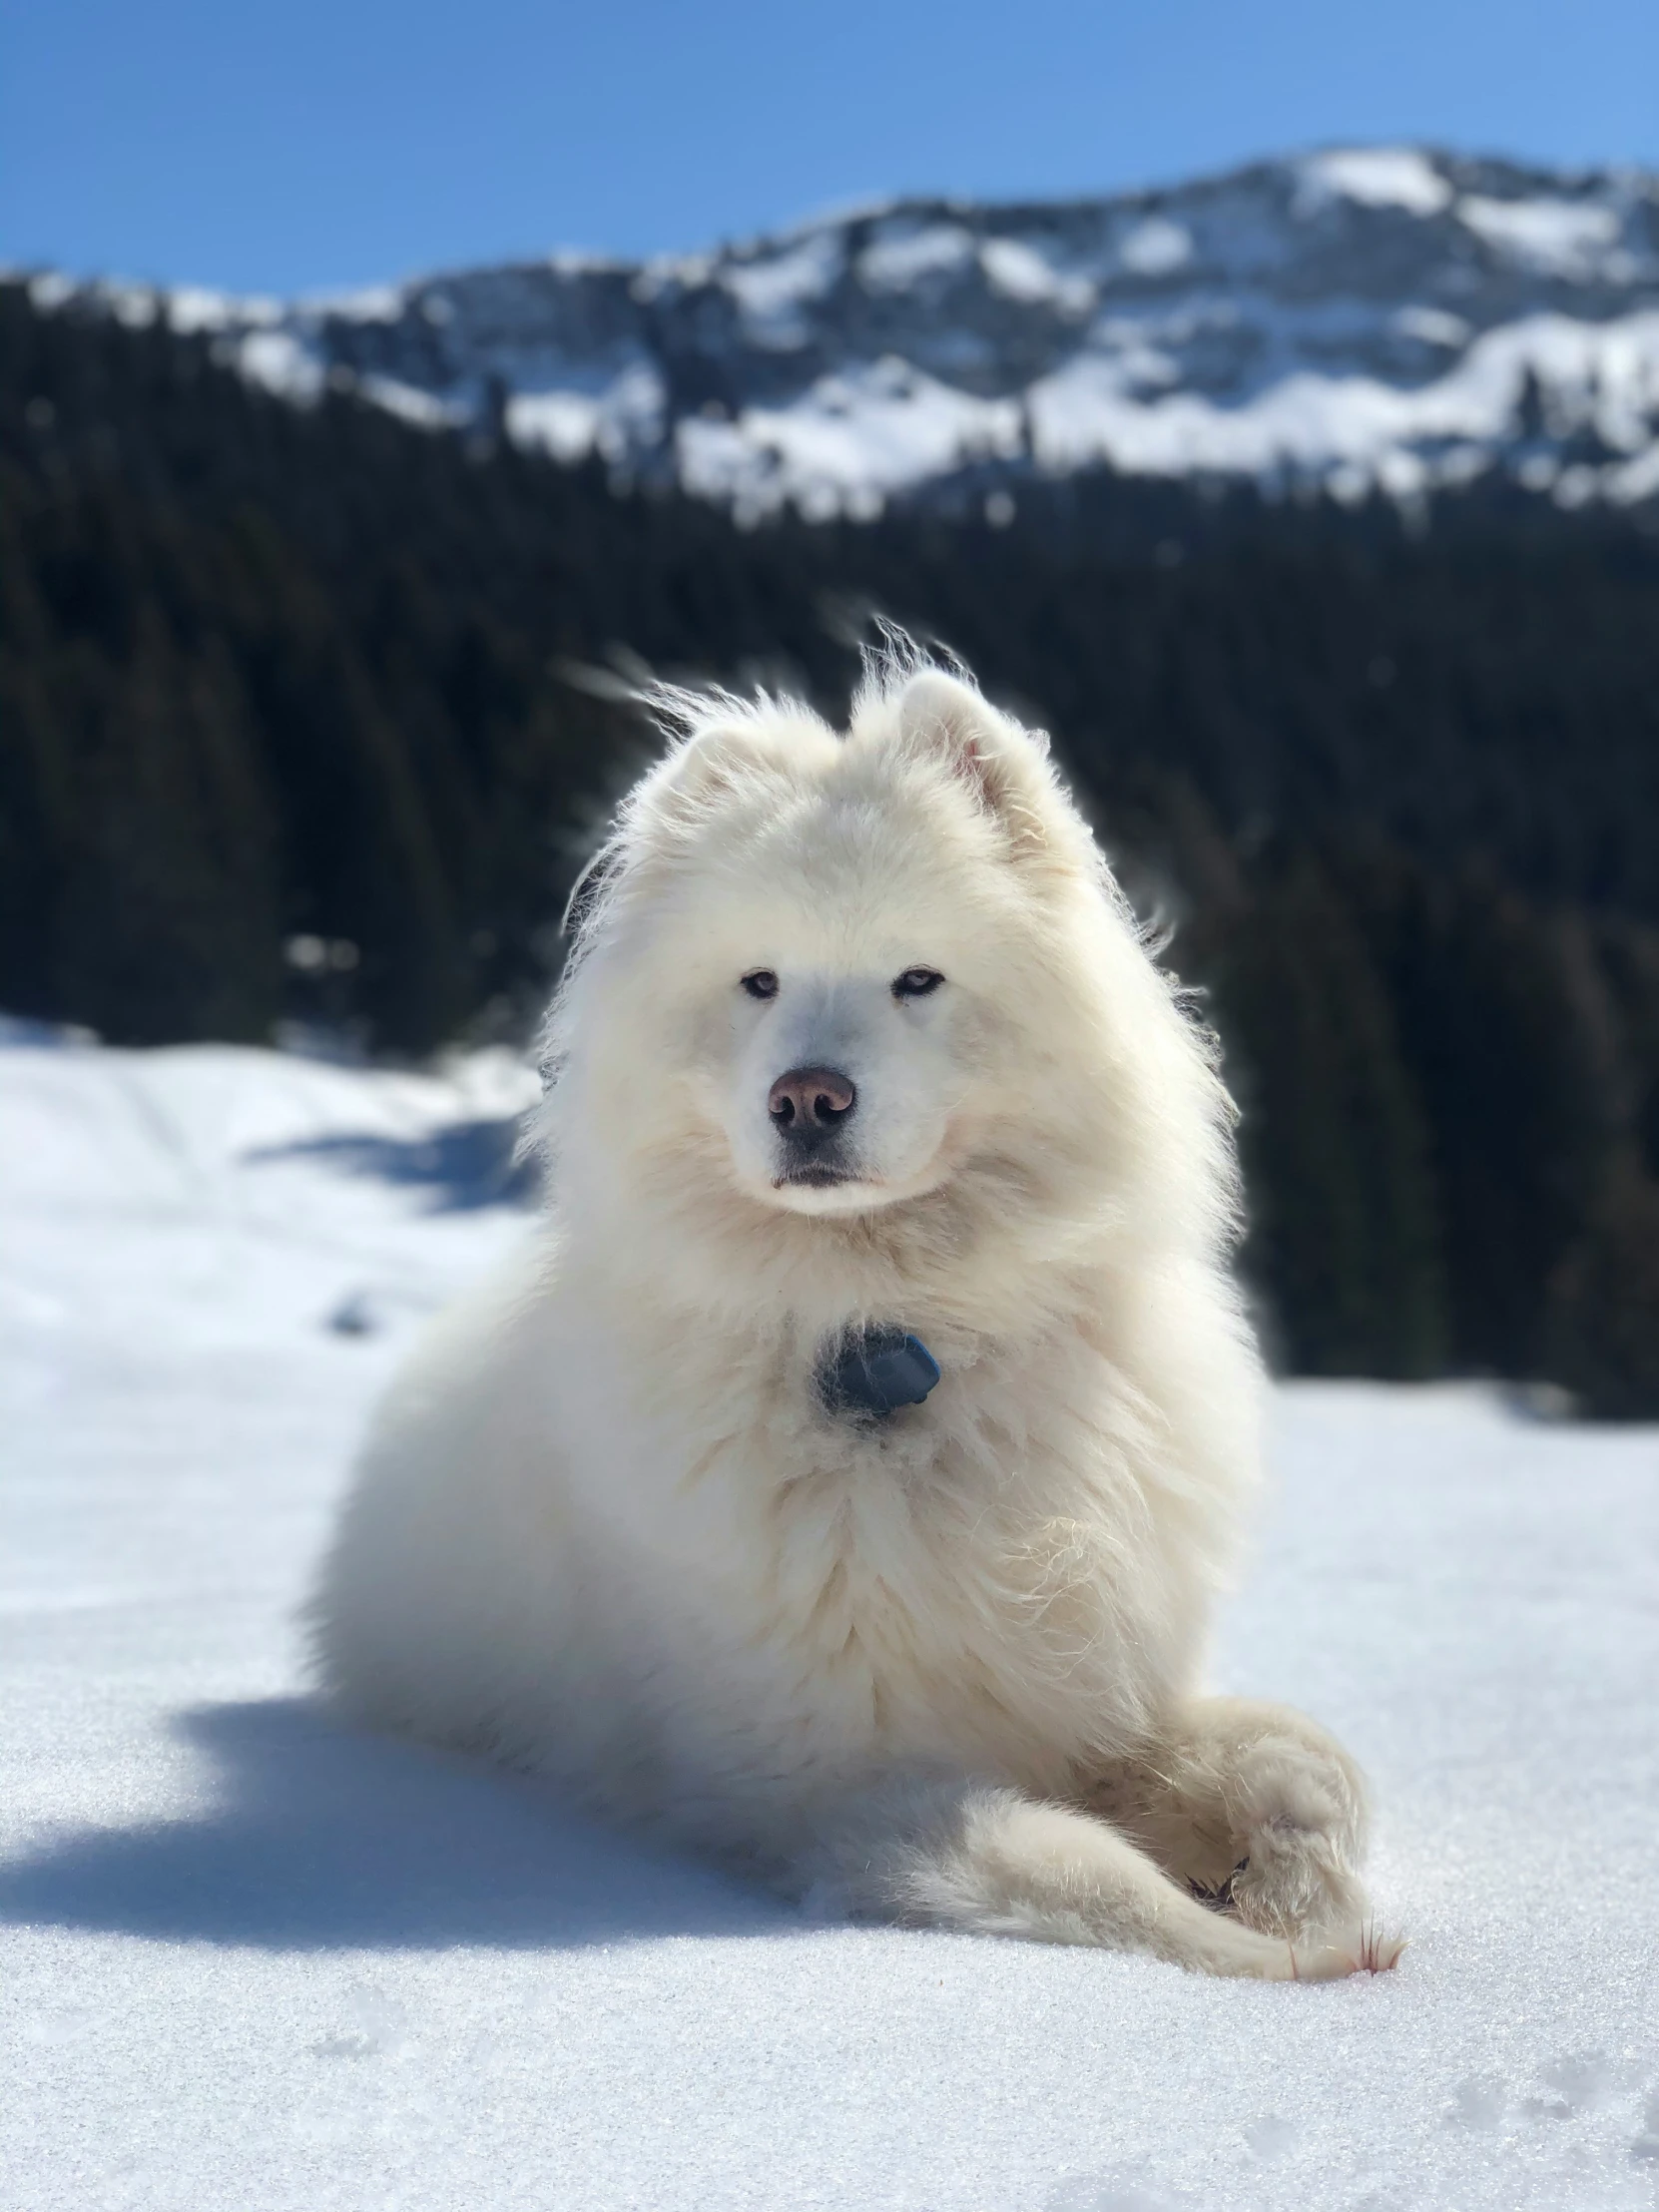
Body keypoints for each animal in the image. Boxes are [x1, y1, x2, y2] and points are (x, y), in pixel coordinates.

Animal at [304, 646, 1397, 1981]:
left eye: (916, 978)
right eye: (759, 981)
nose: (807, 1096)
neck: (886, 1334)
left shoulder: (1102, 1693)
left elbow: (1305, 1764)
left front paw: (1308, 1899)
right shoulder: (828, 1778)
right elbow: (1083, 1870)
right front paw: (1258, 1956)